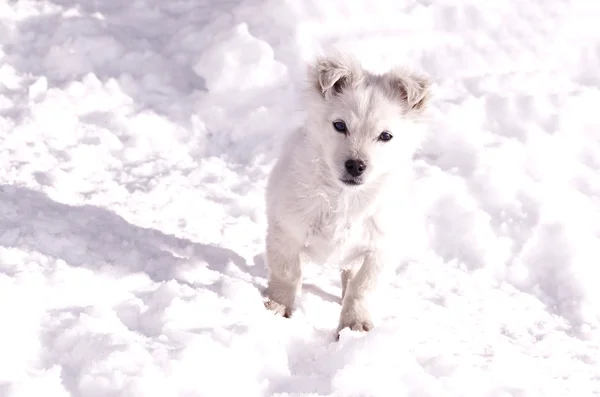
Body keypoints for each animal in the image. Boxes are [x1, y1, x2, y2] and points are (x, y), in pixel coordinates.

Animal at [262, 51, 432, 338]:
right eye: (339, 126)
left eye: (386, 136)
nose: (355, 165)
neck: (344, 197)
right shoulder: (286, 230)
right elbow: (288, 272)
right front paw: (277, 306)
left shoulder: (380, 250)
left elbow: (362, 287)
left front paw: (354, 325)